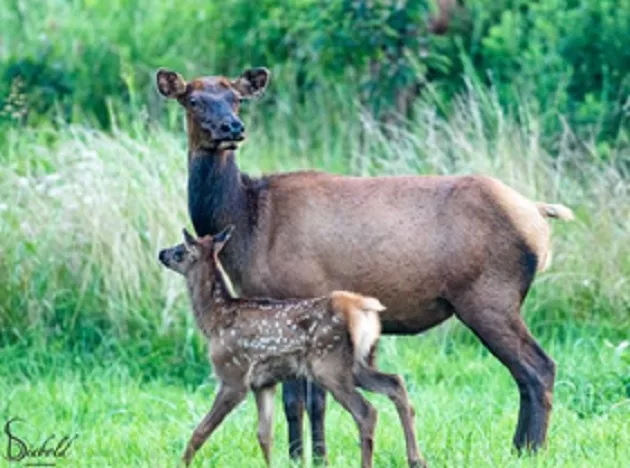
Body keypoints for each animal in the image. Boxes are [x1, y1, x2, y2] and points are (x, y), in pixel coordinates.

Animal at [159, 227, 424, 468]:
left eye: (180, 250)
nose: (161, 252)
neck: (215, 318)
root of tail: (362, 308)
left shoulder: (233, 374)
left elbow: (200, 432)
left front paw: (182, 463)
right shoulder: (263, 383)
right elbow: (264, 436)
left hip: (329, 364)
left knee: (367, 411)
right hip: (358, 363)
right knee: (395, 383)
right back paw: (416, 459)